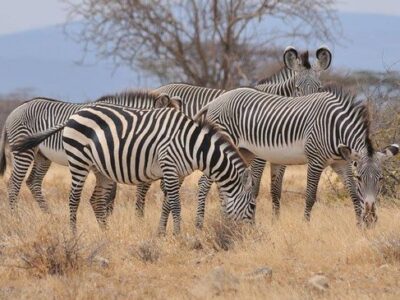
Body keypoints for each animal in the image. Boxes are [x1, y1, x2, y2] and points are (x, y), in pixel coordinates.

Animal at [0, 91, 180, 211]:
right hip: (24, 153)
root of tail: (16, 109)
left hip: (42, 156)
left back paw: (48, 215)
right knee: (14, 185)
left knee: (33, 182)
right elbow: (110, 196)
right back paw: (16, 217)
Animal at [14, 105, 256, 234]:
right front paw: (178, 234)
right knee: (74, 198)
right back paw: (73, 233)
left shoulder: (176, 174)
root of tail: (75, 114)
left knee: (95, 199)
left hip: (100, 169)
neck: (192, 146)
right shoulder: (169, 166)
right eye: (252, 205)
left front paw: (161, 233)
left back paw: (106, 233)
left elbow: (167, 204)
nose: (251, 236)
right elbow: (176, 205)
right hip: (78, 161)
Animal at [193, 87, 396, 227]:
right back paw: (200, 224)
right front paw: (305, 224)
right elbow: (310, 196)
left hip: (245, 152)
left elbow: (353, 195)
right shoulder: (315, 160)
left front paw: (360, 225)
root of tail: (215, 101)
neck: (335, 128)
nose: (371, 217)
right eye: (360, 177)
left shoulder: (341, 163)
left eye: (381, 179)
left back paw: (225, 218)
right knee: (203, 183)